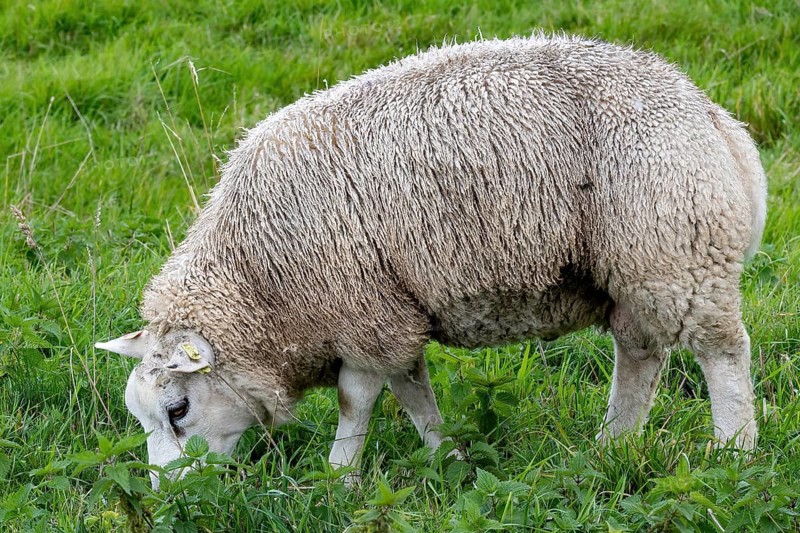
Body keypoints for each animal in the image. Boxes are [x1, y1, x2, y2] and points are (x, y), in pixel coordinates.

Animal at [96, 34, 767, 488]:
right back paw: (611, 446)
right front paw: (450, 458)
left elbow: (357, 401)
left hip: (678, 251)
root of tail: (718, 122)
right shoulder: (392, 313)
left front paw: (337, 480)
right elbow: (412, 393)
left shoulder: (361, 312)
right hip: (635, 270)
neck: (259, 282)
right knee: (641, 354)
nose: (167, 497)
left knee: (723, 352)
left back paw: (735, 453)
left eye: (178, 409)